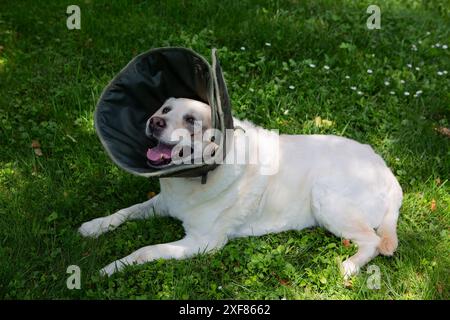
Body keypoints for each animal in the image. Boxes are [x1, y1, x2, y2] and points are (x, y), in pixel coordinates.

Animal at [79, 97, 402, 278]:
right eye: (166, 109)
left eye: (191, 120)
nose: (154, 121)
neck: (193, 178)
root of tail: (387, 172)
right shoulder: (163, 201)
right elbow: (124, 211)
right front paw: (95, 226)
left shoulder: (202, 242)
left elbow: (145, 251)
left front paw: (112, 268)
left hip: (326, 197)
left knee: (373, 241)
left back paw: (351, 265)